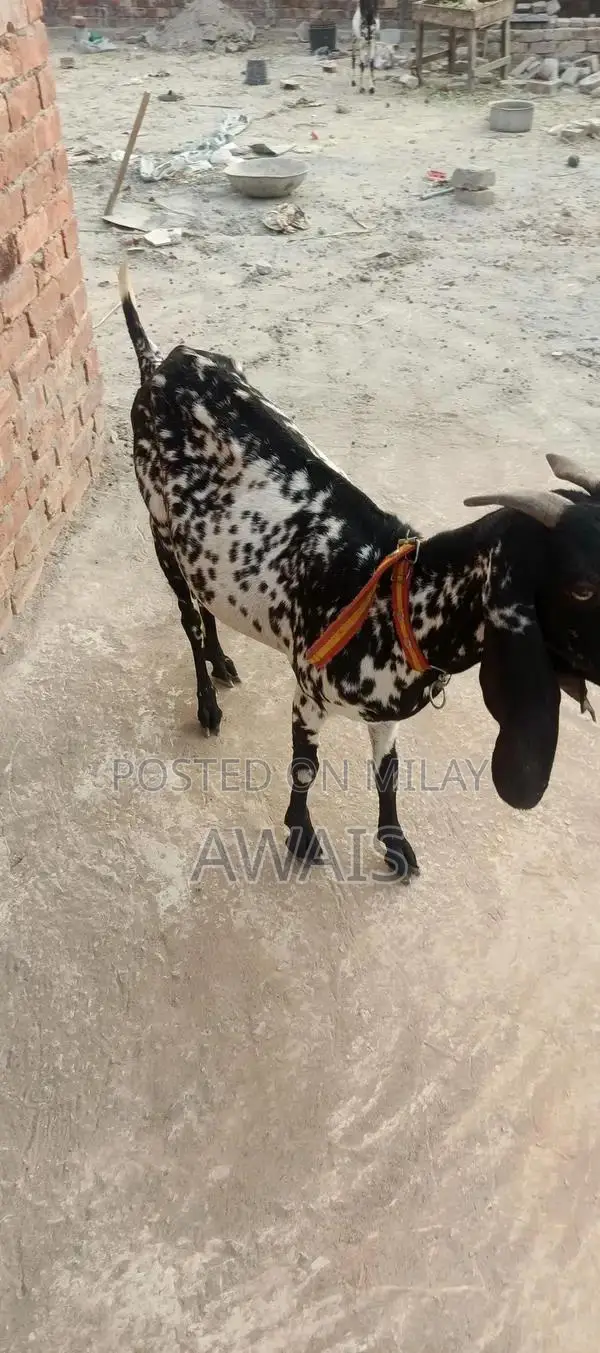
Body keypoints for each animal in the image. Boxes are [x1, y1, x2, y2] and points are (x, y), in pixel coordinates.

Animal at [119, 264, 600, 883]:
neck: (396, 599)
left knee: (206, 601)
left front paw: (396, 846)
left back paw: (225, 665)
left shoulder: (386, 715)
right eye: (583, 586)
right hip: (159, 530)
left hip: (200, 546)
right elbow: (304, 767)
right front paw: (301, 837)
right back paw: (208, 702)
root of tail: (159, 361)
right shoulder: (307, 693)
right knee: (189, 619)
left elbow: (388, 774)